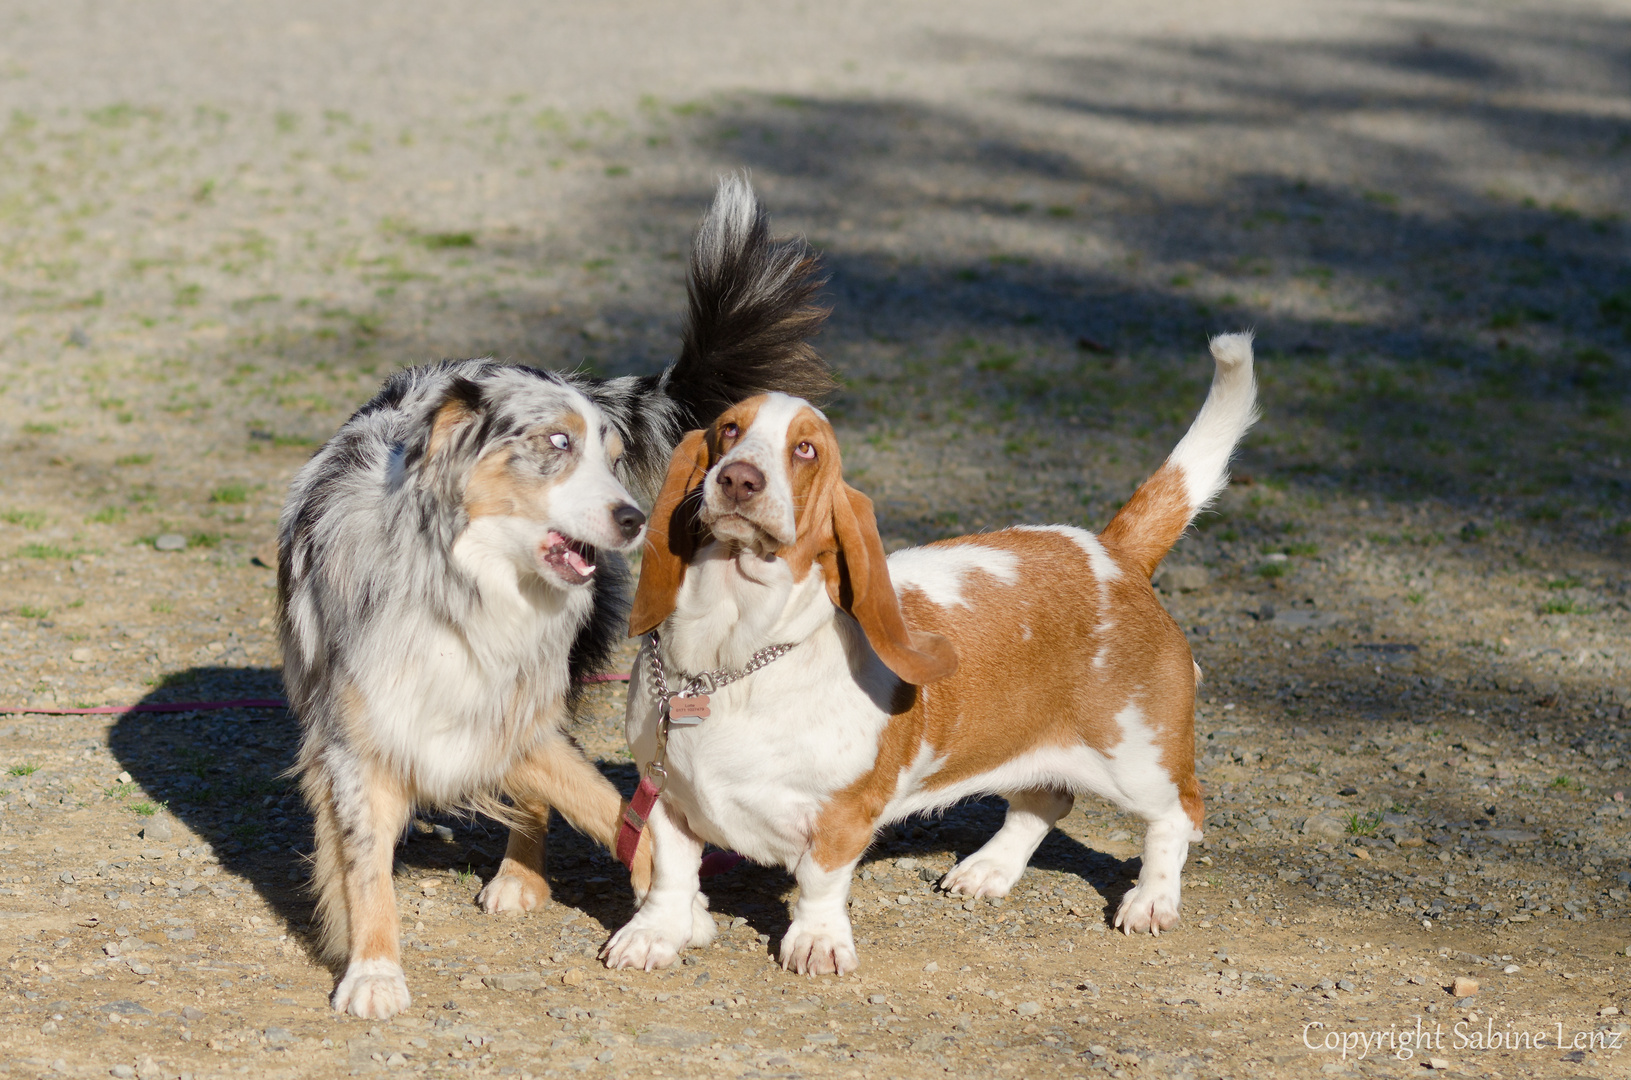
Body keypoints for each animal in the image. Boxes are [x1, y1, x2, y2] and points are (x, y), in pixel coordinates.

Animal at [606, 334, 1252, 978]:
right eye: (729, 430)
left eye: (806, 449)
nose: (739, 480)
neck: (728, 662)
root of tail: (1113, 553)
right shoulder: (665, 797)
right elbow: (669, 875)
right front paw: (655, 935)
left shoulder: (843, 817)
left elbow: (820, 882)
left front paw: (816, 943)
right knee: (1045, 798)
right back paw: (989, 870)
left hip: (1136, 758)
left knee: (1179, 814)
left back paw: (1151, 900)